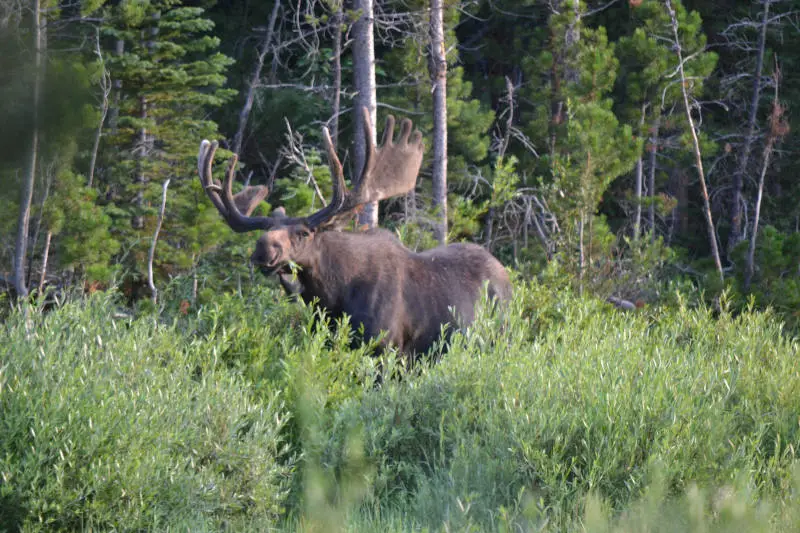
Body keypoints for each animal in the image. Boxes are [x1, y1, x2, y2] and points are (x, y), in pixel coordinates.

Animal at [200, 108, 512, 354]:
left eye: (304, 233)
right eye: (264, 230)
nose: (263, 249)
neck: (333, 297)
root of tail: (507, 278)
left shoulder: (386, 347)